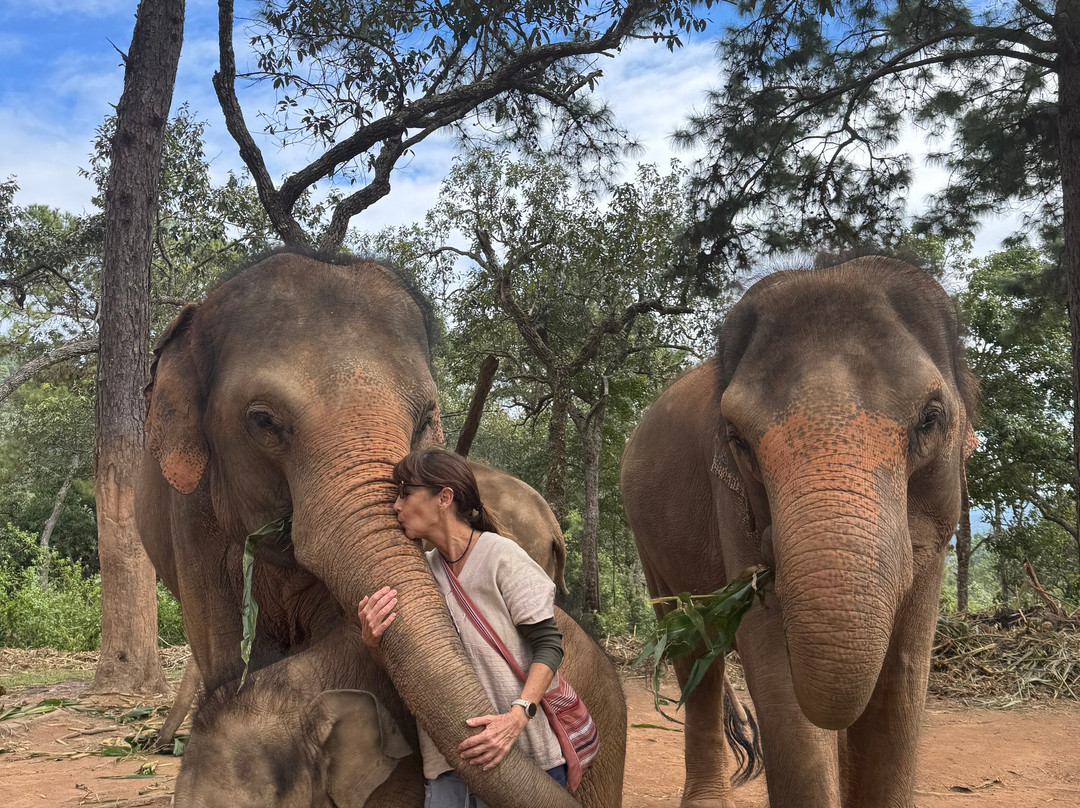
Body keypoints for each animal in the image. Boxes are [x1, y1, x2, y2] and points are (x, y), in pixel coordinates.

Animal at [135, 251, 586, 808]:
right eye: (262, 421)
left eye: (426, 417)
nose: (155, 746)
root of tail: (552, 523)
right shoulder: (191, 515)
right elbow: (221, 645)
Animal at [620, 257, 978, 808]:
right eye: (738, 438)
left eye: (930, 419)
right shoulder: (731, 503)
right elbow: (775, 667)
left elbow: (902, 673)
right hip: (647, 541)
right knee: (692, 650)